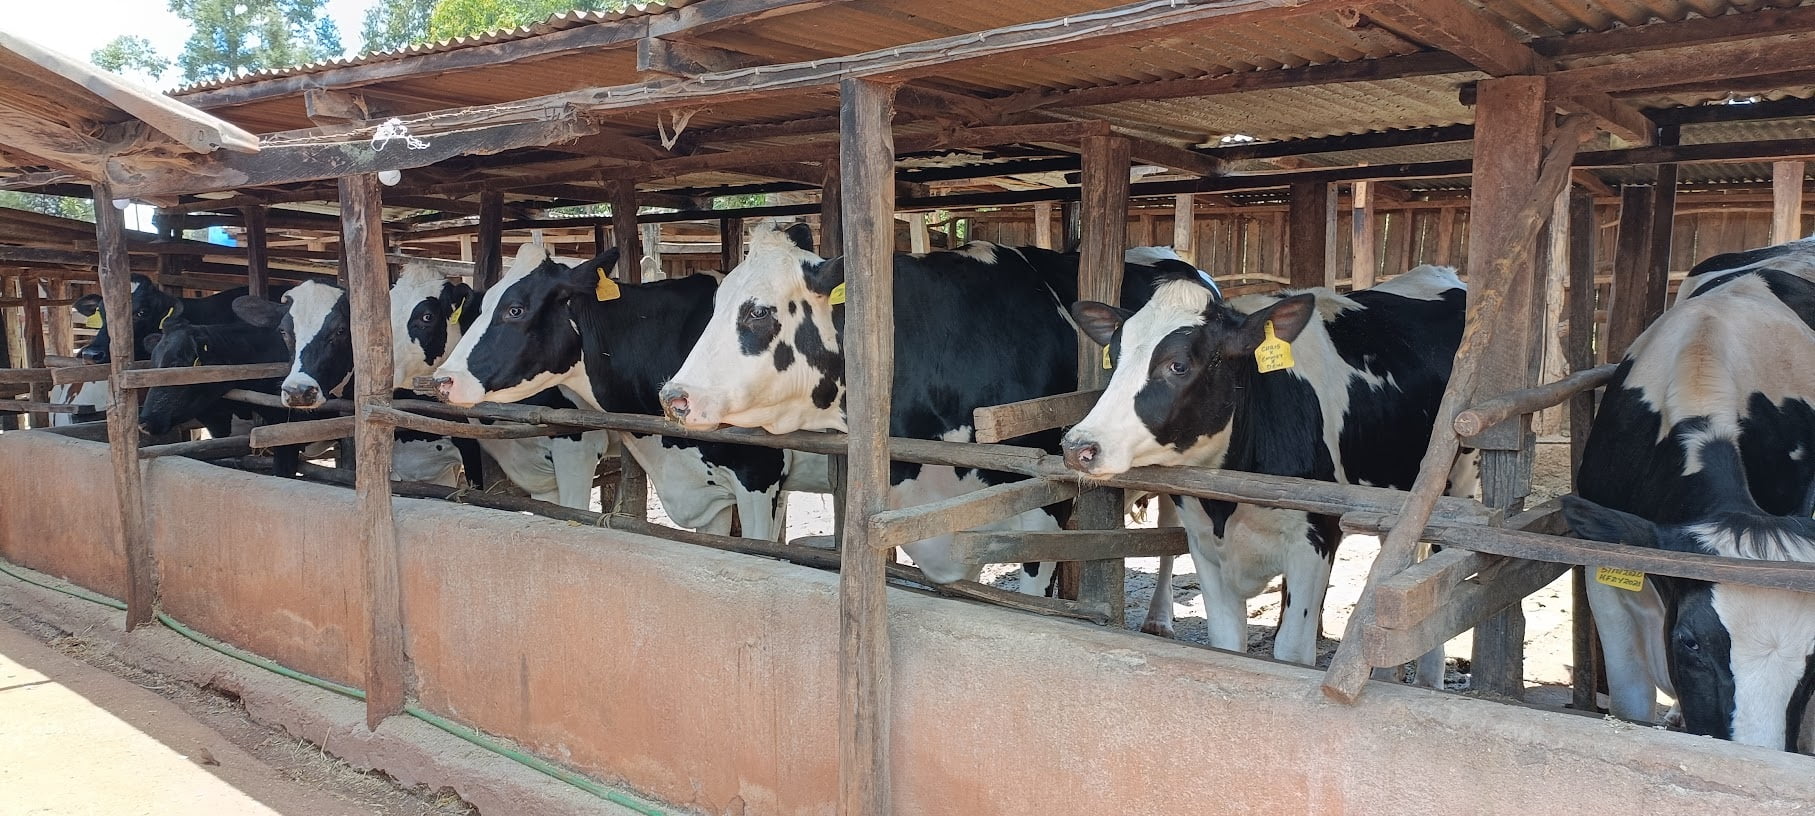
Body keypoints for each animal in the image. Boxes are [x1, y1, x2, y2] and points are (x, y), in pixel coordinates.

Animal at [1059, 262, 1466, 670]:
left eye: (1178, 365)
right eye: (1114, 359)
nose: (1078, 446)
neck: (1226, 505)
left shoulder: (1314, 538)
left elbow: (1292, 652)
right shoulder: (1203, 543)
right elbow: (1225, 642)